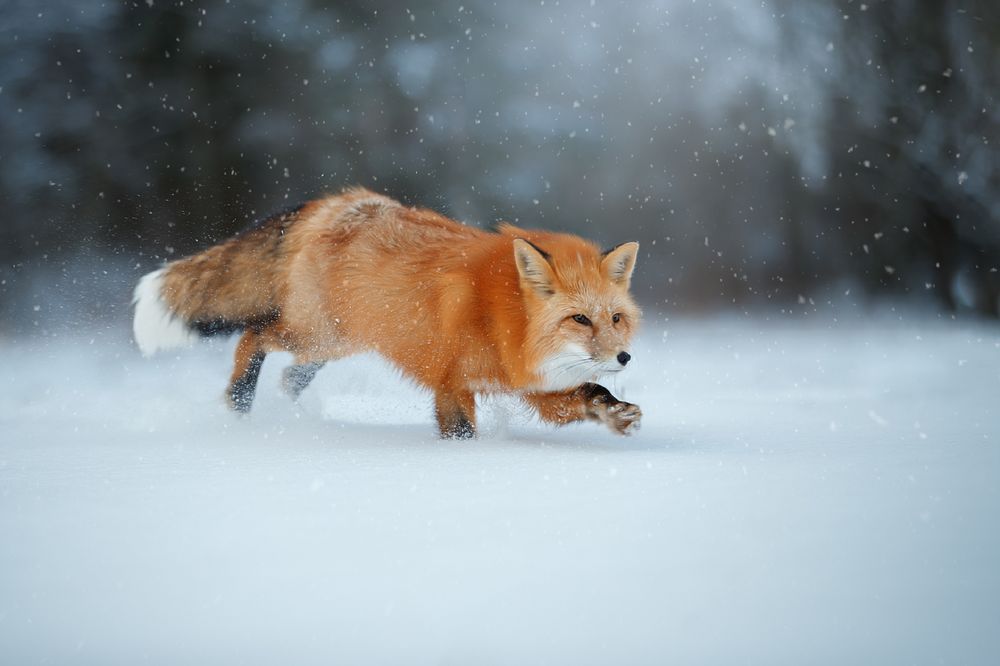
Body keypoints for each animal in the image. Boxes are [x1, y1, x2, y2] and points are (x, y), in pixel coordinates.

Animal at [132, 188, 642, 438]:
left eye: (615, 318)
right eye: (580, 319)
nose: (624, 358)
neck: (504, 319)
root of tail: (341, 201)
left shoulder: (528, 383)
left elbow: (588, 392)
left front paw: (614, 414)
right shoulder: (452, 385)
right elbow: (461, 435)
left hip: (341, 339)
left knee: (291, 370)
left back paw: (289, 403)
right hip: (317, 332)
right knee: (253, 336)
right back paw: (239, 402)